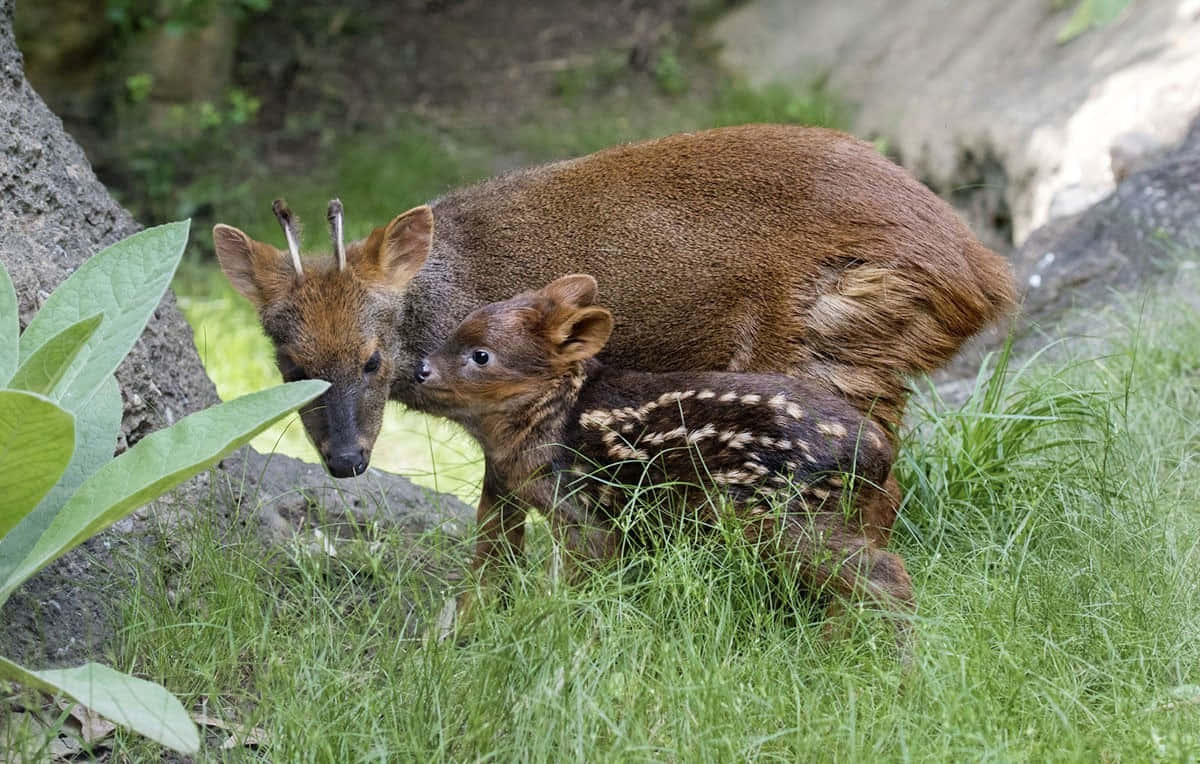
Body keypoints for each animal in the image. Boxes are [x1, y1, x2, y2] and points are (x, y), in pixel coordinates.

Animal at [213, 122, 1012, 551]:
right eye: (289, 368)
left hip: (817, 355)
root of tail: (984, 277)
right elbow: (492, 539)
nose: (347, 461)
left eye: (373, 359)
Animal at [417, 274, 912, 633]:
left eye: (481, 355)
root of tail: (876, 455)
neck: (553, 416)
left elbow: (581, 581)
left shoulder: (583, 510)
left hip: (784, 512)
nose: (421, 369)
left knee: (883, 574)